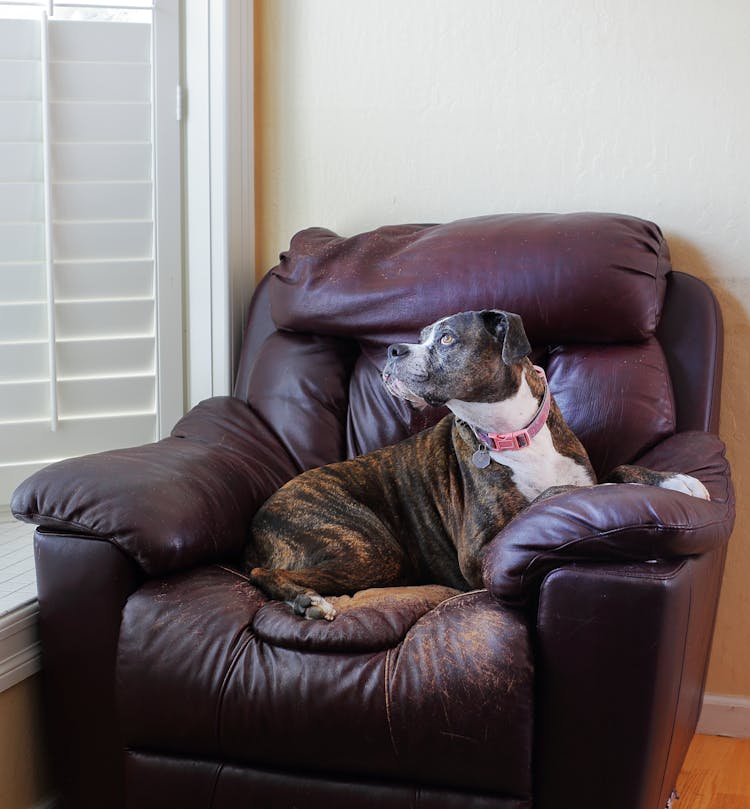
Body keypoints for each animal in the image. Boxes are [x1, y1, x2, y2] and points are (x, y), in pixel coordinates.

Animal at [242, 310, 712, 620]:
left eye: (447, 339)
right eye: (421, 336)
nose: (393, 349)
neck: (513, 431)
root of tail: (258, 518)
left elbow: (615, 471)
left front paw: (677, 480)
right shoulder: (477, 552)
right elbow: (558, 493)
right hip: (371, 548)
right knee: (262, 571)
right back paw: (307, 600)